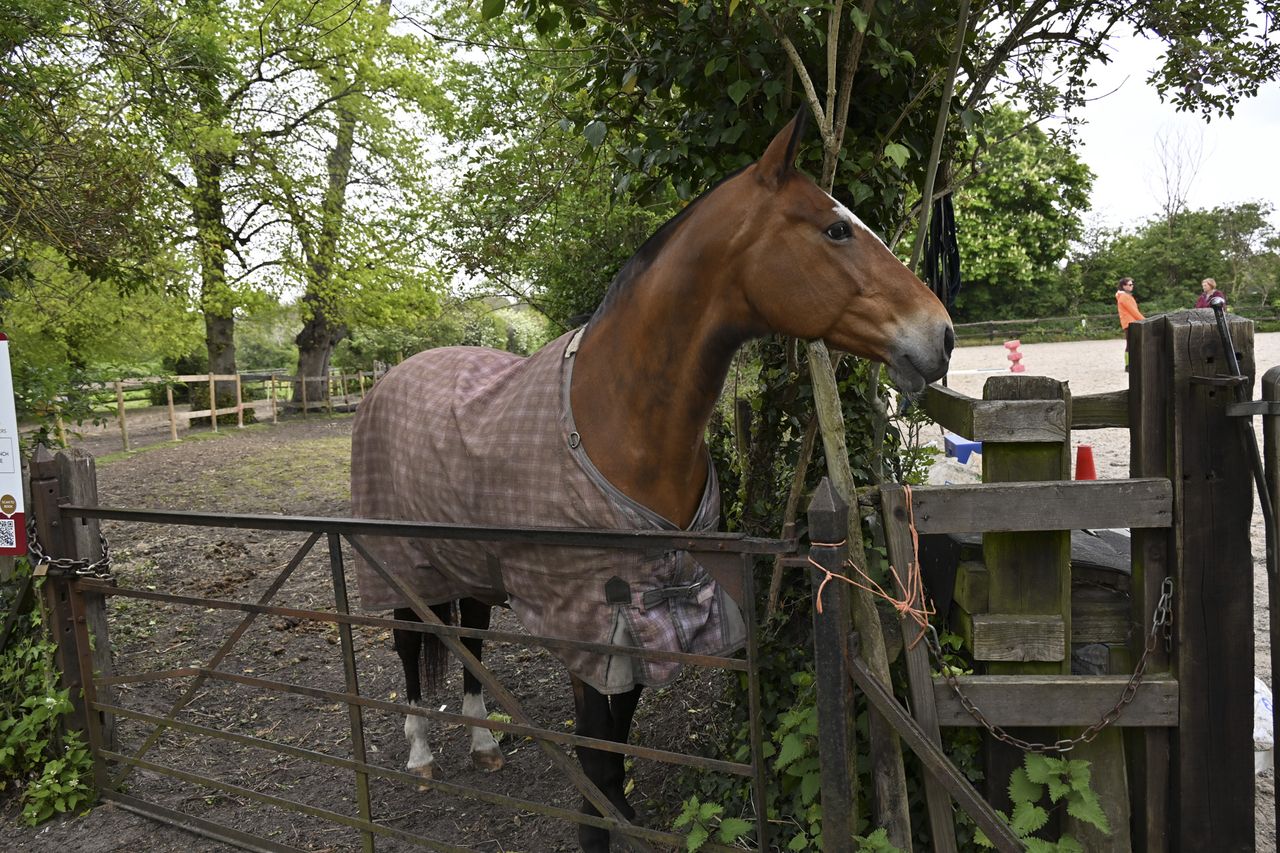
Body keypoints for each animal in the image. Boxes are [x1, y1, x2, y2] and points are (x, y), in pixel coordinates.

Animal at [350, 114, 954, 852]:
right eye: (836, 229)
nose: (942, 334)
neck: (621, 419)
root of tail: (392, 375)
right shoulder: (590, 623)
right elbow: (594, 754)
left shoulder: (639, 614)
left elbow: (615, 750)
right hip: (402, 559)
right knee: (411, 644)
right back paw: (420, 752)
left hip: (466, 562)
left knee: (471, 636)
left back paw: (483, 740)